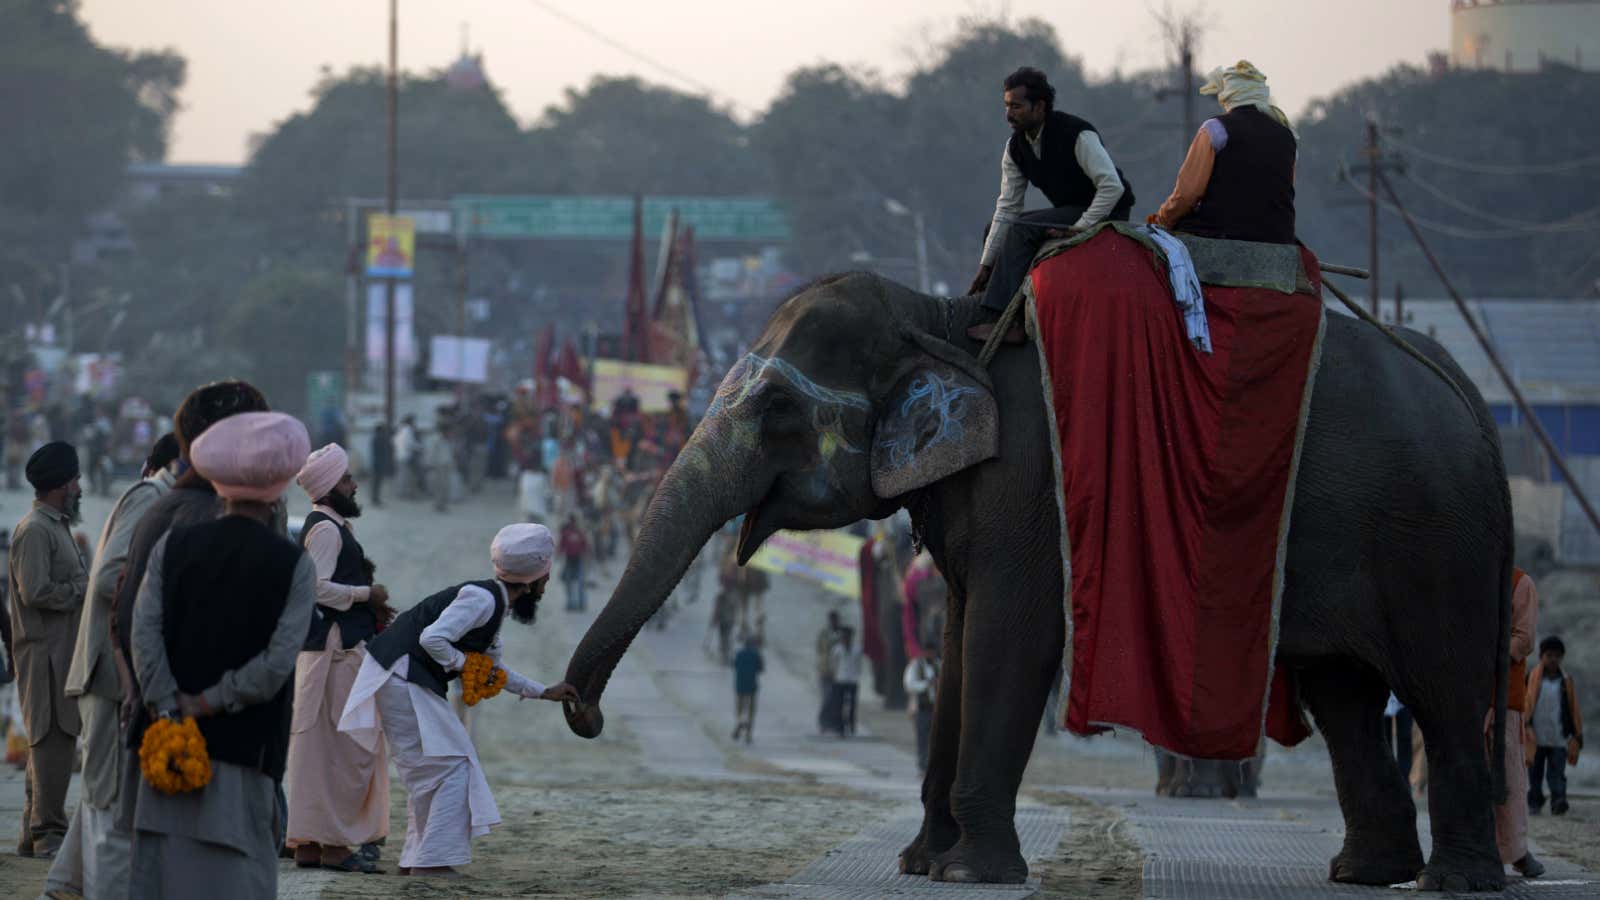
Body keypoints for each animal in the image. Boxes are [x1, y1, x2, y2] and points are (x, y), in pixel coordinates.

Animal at [563, 272, 1510, 890]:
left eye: (779, 411)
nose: (584, 711)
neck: (942, 320)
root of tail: (1471, 399)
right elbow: (956, 641)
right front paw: (922, 862)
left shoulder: (1032, 481)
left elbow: (1009, 634)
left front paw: (969, 872)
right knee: (1344, 695)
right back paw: (1365, 872)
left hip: (1435, 539)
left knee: (1441, 691)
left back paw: (1453, 883)